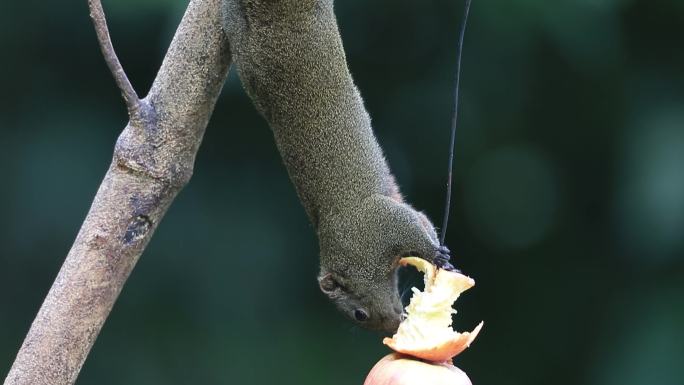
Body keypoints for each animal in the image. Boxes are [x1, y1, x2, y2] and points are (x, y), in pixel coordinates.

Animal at [222, 0, 454, 330]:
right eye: (360, 316)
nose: (396, 326)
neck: (351, 257)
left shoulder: (375, 225)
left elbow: (411, 226)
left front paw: (436, 254)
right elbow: (420, 219)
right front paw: (436, 249)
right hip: (245, 46)